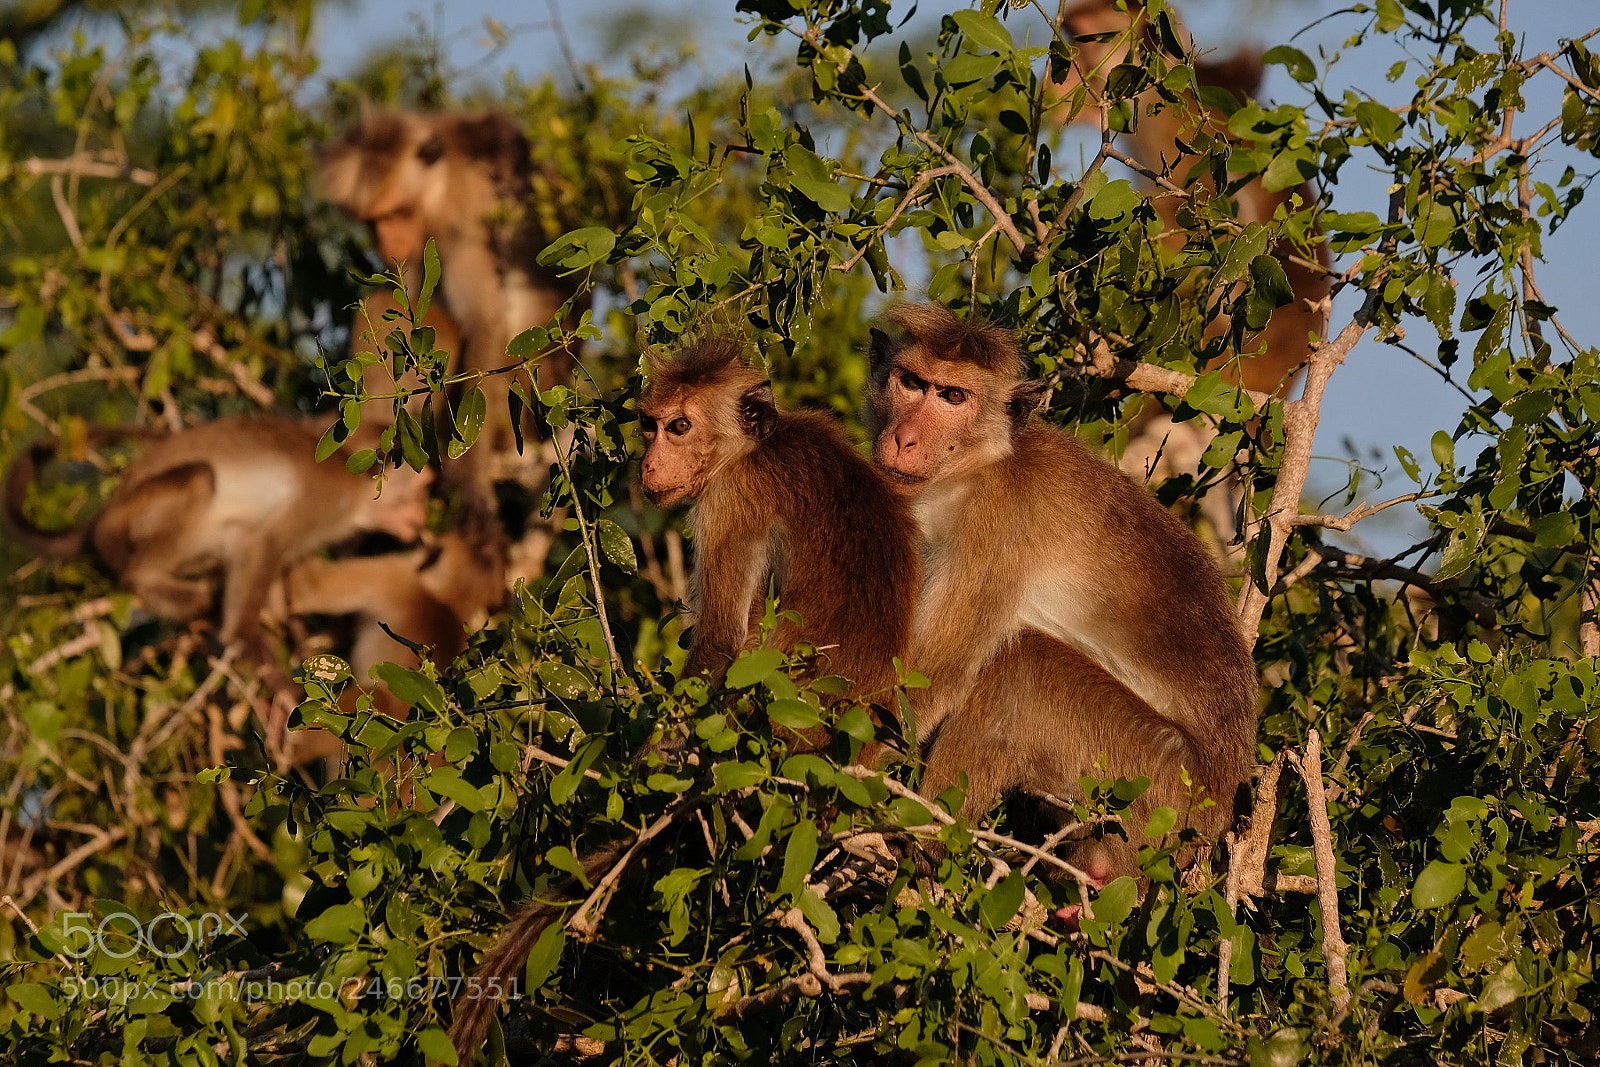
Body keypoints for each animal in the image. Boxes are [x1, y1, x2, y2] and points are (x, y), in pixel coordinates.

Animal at [3, 416, 433, 659]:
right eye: (419, 491)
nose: (422, 514)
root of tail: (102, 518)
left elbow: (263, 554)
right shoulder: (326, 501)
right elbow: (263, 543)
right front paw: (245, 639)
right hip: (123, 528)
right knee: (200, 480)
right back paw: (157, 584)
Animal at [446, 335, 921, 1062]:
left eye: (680, 426)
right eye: (650, 425)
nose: (649, 459)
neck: (752, 446)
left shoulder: (732, 500)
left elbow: (722, 643)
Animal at [864, 304, 1258, 885]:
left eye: (954, 396)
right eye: (911, 382)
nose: (904, 439)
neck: (981, 463)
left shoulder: (997, 524)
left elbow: (937, 673)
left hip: (1151, 787)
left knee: (1018, 671)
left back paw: (927, 848)